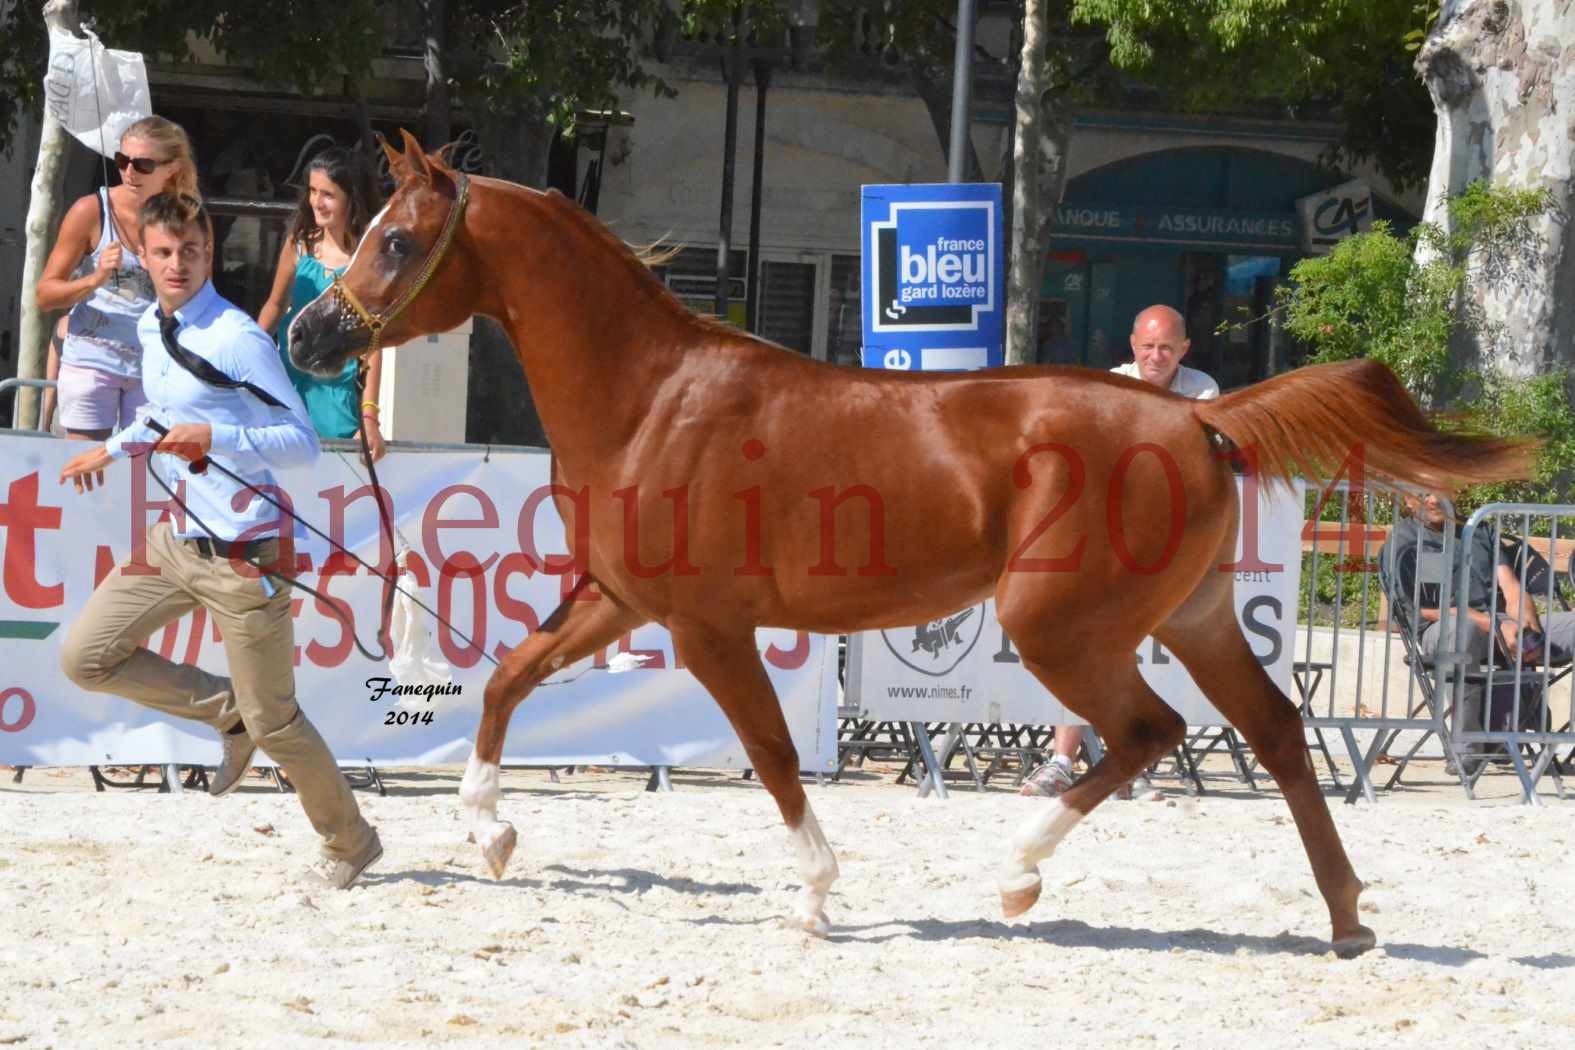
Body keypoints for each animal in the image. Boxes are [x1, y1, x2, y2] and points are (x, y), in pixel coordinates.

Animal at [289, 129, 1530, 950]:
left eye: (398, 240)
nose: (308, 334)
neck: (651, 398)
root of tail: (1194, 416)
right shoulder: (622, 599)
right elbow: (506, 679)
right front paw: (491, 837)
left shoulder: (705, 625)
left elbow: (772, 753)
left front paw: (818, 892)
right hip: (1193, 615)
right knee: (1272, 732)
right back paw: (1347, 919)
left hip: (1060, 626)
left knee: (1150, 732)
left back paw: (1018, 876)